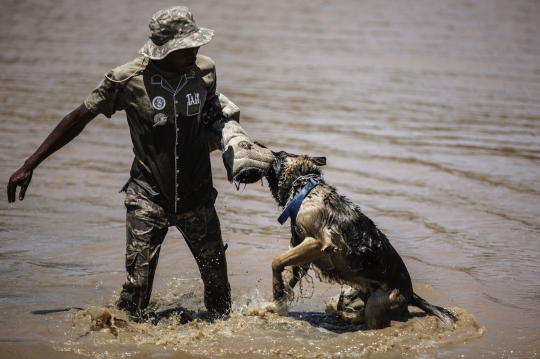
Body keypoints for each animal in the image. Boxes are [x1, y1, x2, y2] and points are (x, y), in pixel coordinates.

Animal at [264, 150, 458, 332]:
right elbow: (285, 272)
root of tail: (410, 293)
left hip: (375, 306)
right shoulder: (302, 255)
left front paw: (277, 289)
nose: (266, 149)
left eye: (278, 155)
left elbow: (276, 260)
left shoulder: (318, 243)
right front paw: (273, 302)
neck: (306, 188)